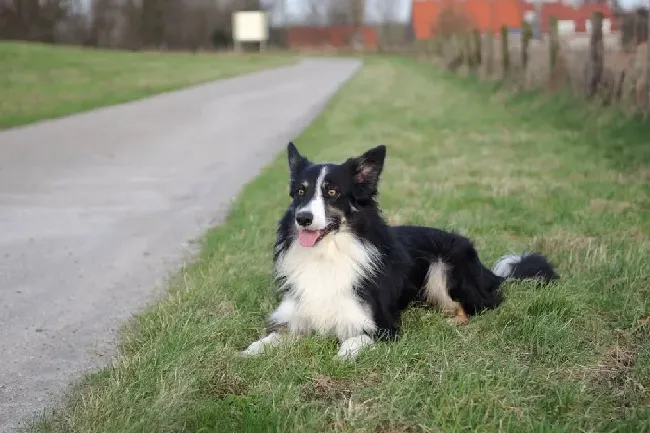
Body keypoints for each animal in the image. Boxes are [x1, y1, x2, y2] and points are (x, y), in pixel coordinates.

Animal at [240, 142, 556, 358]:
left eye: (332, 192)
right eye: (300, 192)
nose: (302, 218)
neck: (328, 253)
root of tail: (487, 271)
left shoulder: (381, 326)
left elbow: (352, 343)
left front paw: (341, 356)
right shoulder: (296, 315)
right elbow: (270, 338)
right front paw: (250, 351)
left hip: (444, 265)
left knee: (479, 305)